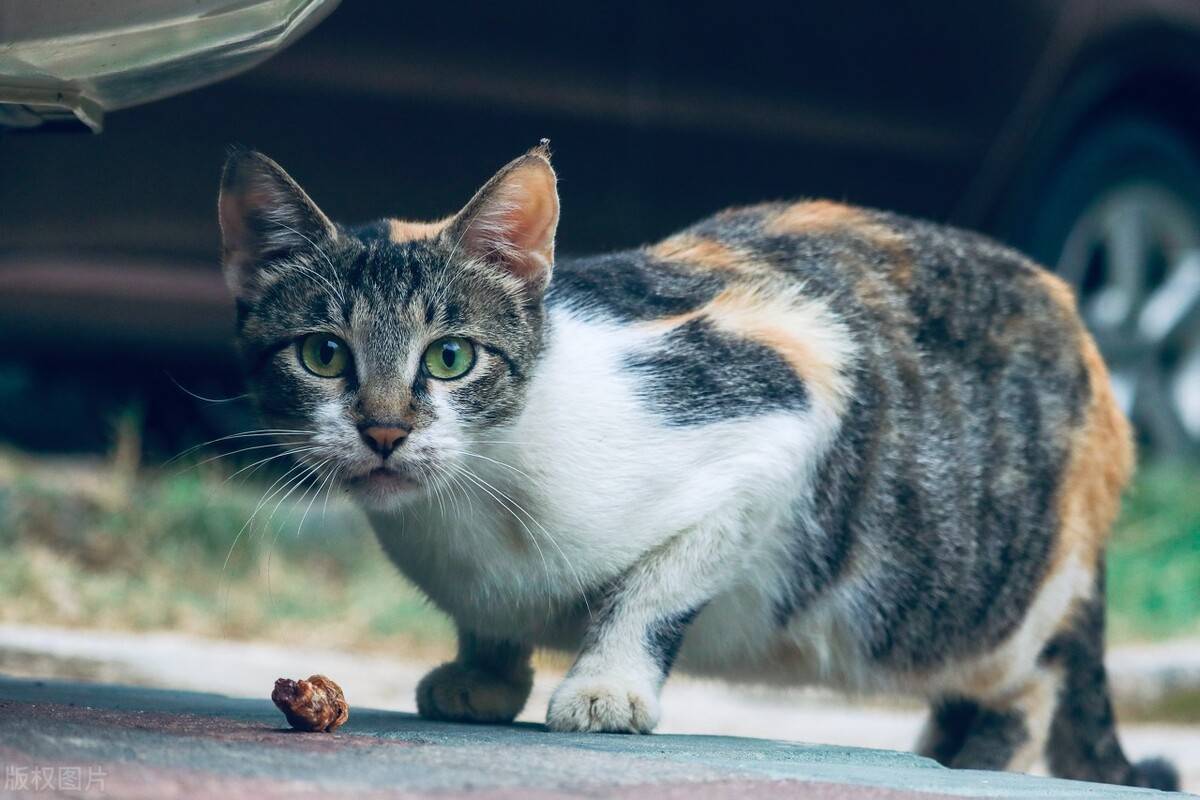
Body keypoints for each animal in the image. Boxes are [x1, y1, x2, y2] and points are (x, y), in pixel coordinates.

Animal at [220, 142, 1176, 786]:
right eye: (323, 355)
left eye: (451, 357)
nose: (384, 430)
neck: (477, 496)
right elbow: (489, 622)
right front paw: (485, 673)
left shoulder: (783, 402)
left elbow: (656, 592)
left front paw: (607, 687)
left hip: (972, 596)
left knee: (1037, 669)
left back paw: (985, 749)